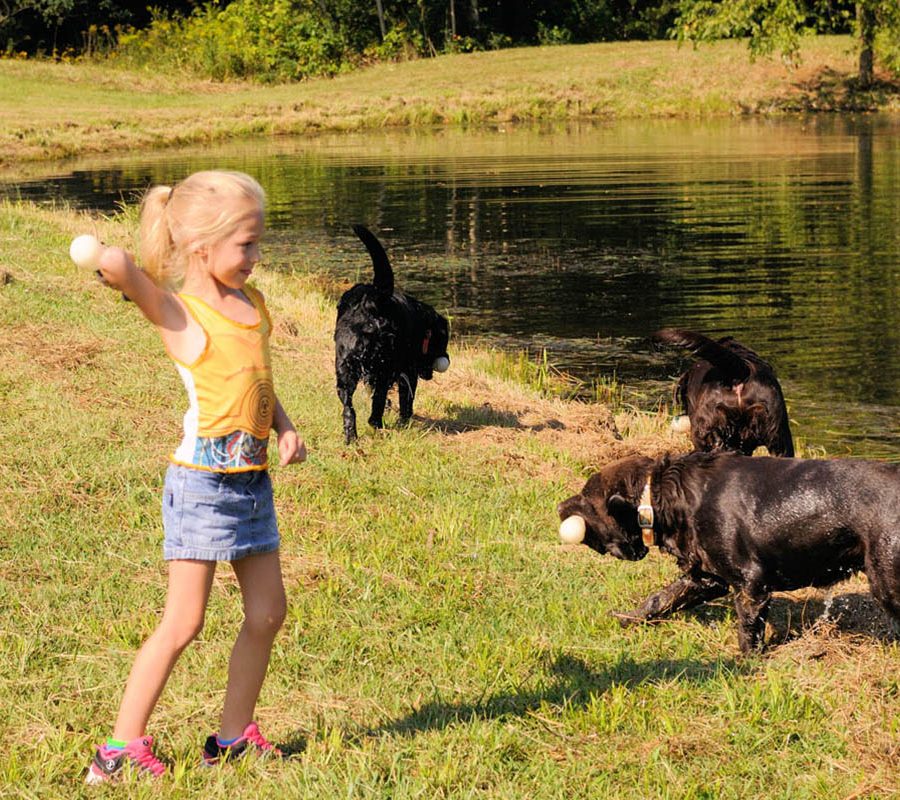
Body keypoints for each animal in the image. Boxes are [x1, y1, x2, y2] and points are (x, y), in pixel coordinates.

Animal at [334, 225, 450, 444]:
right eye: (443, 343)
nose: (446, 358)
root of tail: (371, 300)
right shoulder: (408, 372)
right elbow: (406, 400)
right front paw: (405, 422)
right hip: (384, 365)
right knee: (377, 400)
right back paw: (377, 423)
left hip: (344, 368)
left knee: (349, 409)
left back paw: (351, 437)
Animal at [560, 454, 896, 652]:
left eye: (587, 497)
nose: (560, 506)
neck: (660, 498)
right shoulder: (706, 578)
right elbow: (659, 599)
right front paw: (629, 619)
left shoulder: (751, 584)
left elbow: (748, 631)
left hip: (887, 581)